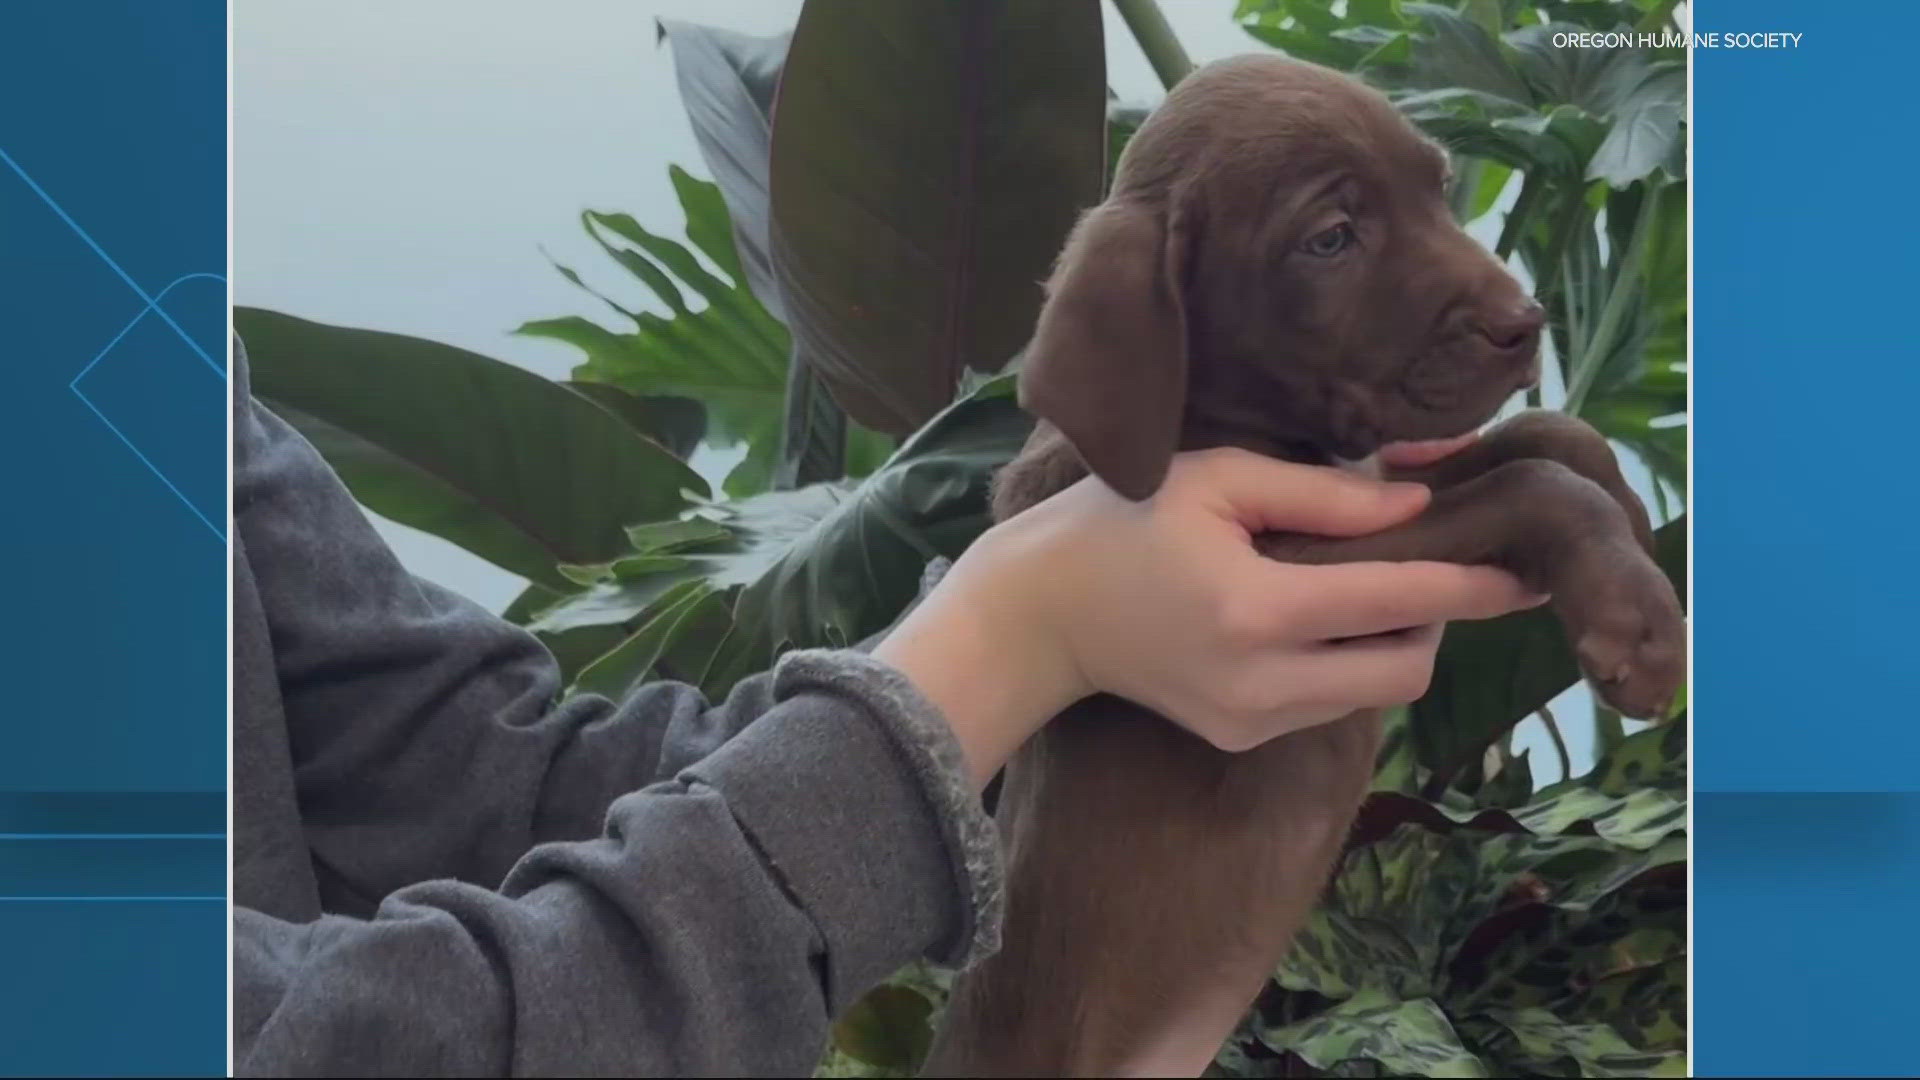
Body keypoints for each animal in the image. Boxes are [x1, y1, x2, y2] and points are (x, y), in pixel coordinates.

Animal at [917, 54, 1681, 1068]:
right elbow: (1526, 486)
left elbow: (1544, 434)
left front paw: (1635, 524)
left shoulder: (1381, 479)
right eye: (1331, 239)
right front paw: (1636, 625)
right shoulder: (1294, 570)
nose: (1526, 322)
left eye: (1440, 187)